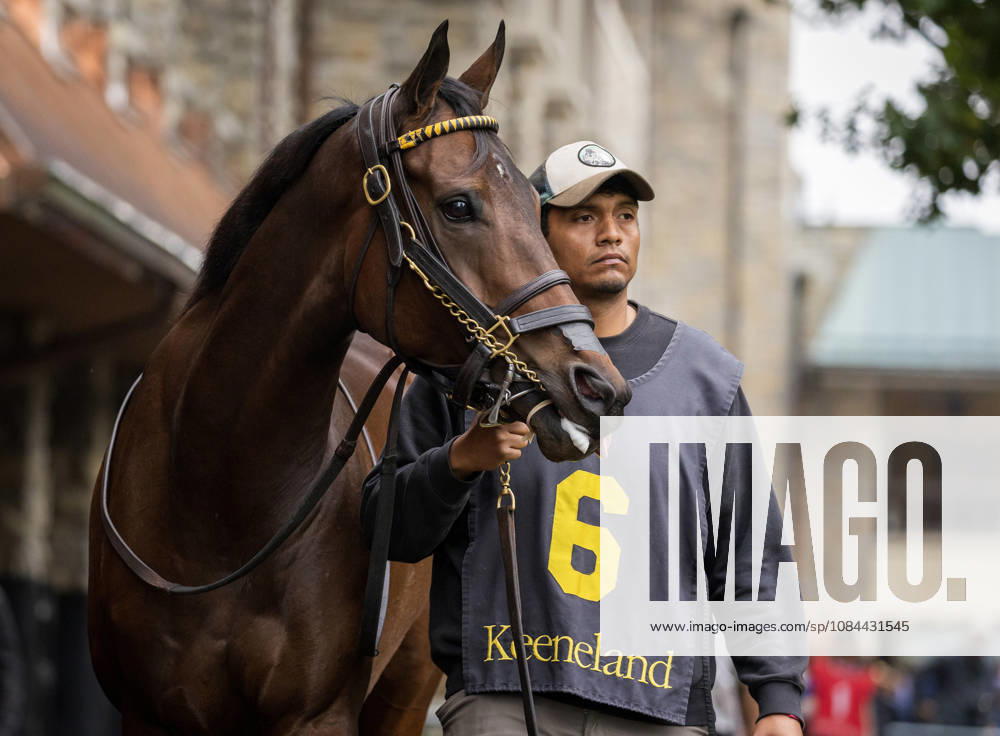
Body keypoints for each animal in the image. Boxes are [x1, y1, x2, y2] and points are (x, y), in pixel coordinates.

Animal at [88, 21, 630, 735]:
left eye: (531, 204)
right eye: (459, 205)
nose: (599, 384)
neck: (214, 503)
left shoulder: (319, 716)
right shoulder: (148, 713)